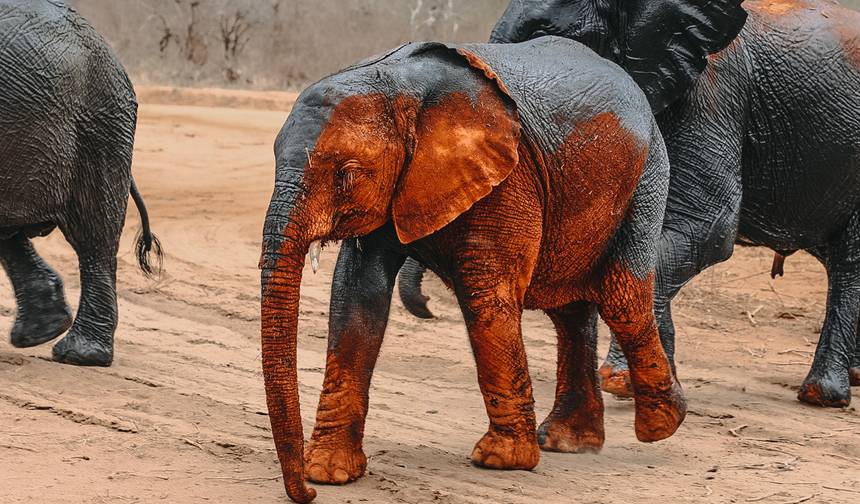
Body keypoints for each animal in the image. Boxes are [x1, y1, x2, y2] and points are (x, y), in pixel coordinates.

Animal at [260, 37, 689, 503]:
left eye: (348, 174)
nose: (305, 492)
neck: (398, 85)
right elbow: (358, 292)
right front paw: (329, 472)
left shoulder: (510, 174)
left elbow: (485, 292)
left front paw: (502, 461)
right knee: (571, 313)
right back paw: (569, 442)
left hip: (647, 178)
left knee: (620, 297)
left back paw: (661, 425)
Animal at [401, 0, 860, 408]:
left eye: (545, 37)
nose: (426, 308)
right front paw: (653, 383)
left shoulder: (715, 90)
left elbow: (704, 229)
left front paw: (620, 381)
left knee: (849, 263)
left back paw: (822, 394)